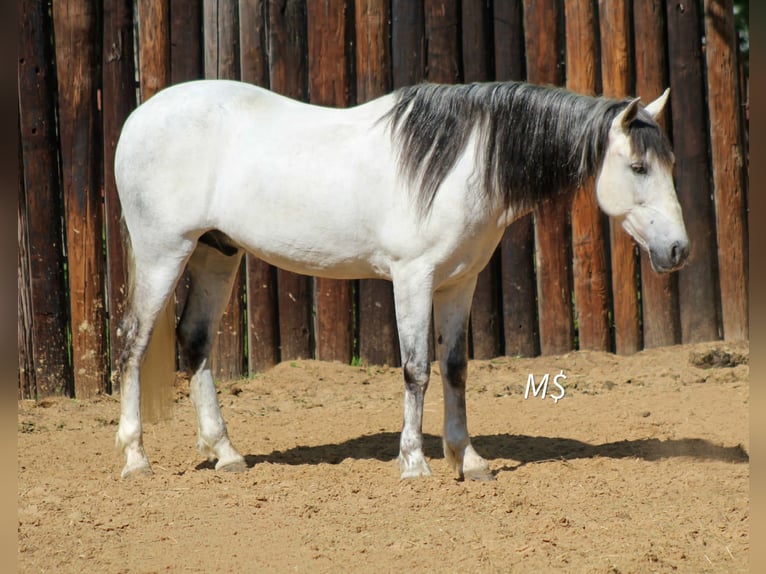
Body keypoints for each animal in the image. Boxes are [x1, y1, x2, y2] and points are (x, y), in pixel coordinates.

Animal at [114, 79, 688, 481]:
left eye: (670, 163)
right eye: (639, 167)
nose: (678, 250)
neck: (460, 163)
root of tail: (139, 118)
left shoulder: (459, 282)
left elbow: (455, 368)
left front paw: (468, 460)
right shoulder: (413, 277)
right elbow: (416, 370)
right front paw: (414, 463)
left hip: (217, 252)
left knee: (194, 341)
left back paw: (226, 454)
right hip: (164, 252)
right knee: (133, 343)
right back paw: (136, 459)